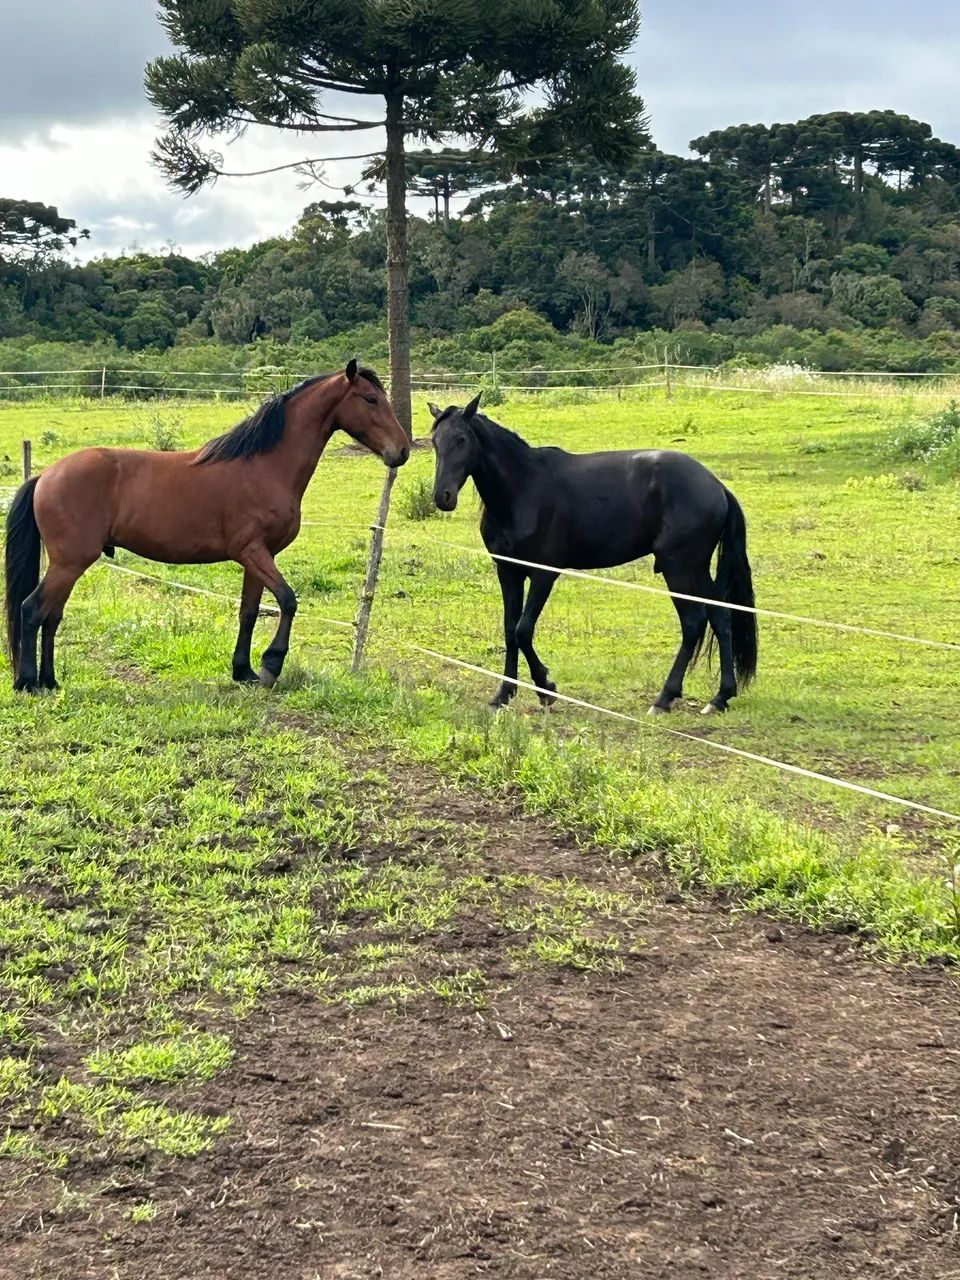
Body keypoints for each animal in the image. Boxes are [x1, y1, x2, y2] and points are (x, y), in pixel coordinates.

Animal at [5, 361, 409, 693]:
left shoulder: (258, 558)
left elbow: (249, 611)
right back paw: (28, 683)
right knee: (32, 610)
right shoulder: (252, 551)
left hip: (69, 565)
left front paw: (244, 671)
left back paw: (50, 680)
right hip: (70, 562)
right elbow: (288, 600)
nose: (402, 451)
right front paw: (271, 664)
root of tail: (46, 476)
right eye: (371, 399)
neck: (265, 466)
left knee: (51, 616)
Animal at [429, 394, 757, 716]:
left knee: (693, 622)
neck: (522, 489)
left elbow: (523, 630)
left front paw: (546, 688)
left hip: (679, 569)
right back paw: (720, 697)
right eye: (435, 442)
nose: (443, 497)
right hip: (696, 570)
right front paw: (503, 694)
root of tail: (716, 486)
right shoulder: (508, 571)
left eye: (461, 440)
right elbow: (510, 631)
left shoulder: (543, 574)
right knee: (720, 615)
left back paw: (664, 698)